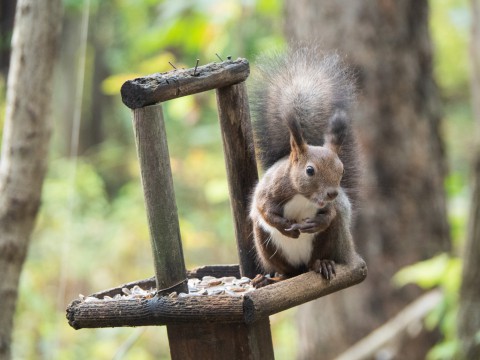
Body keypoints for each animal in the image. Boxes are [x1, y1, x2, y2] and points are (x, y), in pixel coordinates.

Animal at [249, 45, 358, 286]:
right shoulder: (269, 191)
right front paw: (284, 226)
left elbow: (329, 215)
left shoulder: (330, 207)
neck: (303, 197)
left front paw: (315, 223)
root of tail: (301, 268)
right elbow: (264, 210)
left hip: (330, 238)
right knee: (287, 271)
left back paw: (322, 264)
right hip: (265, 244)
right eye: (310, 170)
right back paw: (271, 279)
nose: (332, 193)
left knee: (317, 255)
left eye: (342, 170)